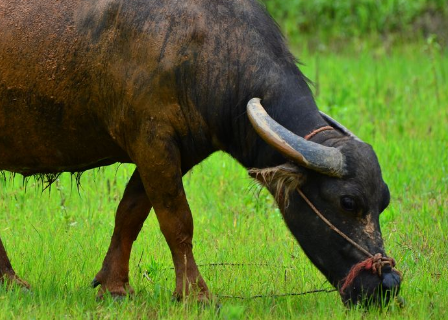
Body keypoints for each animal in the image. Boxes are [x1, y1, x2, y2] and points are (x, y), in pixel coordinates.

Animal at [0, 0, 400, 306]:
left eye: (383, 201)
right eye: (348, 203)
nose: (388, 284)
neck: (205, 48)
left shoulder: (176, 151)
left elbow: (130, 212)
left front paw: (115, 286)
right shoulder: (152, 141)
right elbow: (178, 221)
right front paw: (196, 294)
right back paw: (12, 282)